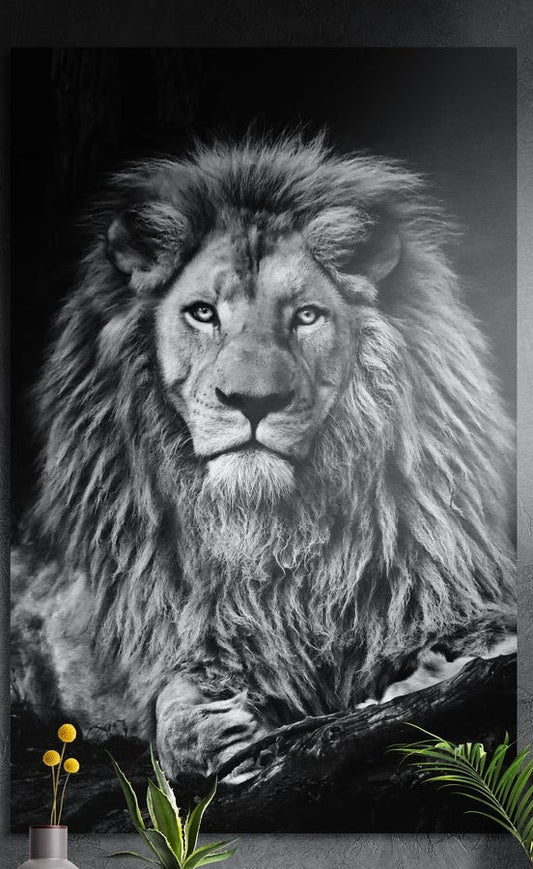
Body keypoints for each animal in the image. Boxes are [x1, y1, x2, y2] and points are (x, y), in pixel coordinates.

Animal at [11, 133, 516, 782]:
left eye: (306, 316)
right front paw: (214, 727)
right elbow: (173, 708)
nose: (252, 401)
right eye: (203, 312)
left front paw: (423, 675)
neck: (271, 537)